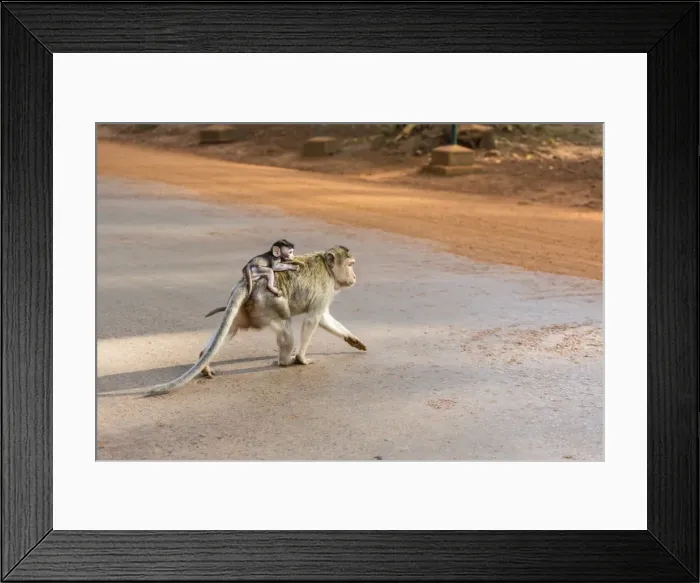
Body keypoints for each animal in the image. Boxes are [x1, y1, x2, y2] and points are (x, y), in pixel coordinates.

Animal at [99, 245, 366, 398]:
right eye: (351, 265)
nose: (355, 276)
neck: (327, 268)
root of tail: (247, 283)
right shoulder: (324, 288)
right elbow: (313, 319)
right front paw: (302, 358)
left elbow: (324, 319)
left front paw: (353, 340)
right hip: (268, 304)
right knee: (286, 327)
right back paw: (285, 360)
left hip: (245, 309)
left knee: (230, 329)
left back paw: (203, 359)